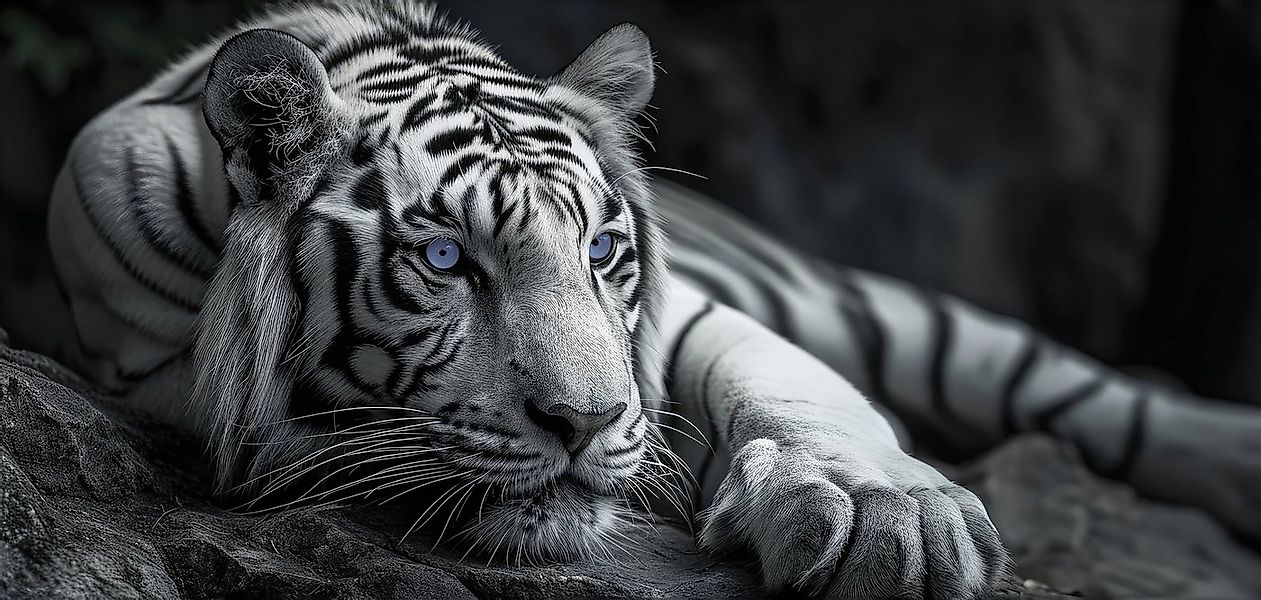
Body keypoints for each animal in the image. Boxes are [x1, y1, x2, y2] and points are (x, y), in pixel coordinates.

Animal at [42, 1, 1259, 598]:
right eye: (442, 259)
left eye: (603, 252)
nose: (585, 427)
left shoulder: (696, 323)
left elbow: (795, 392)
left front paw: (887, 518)